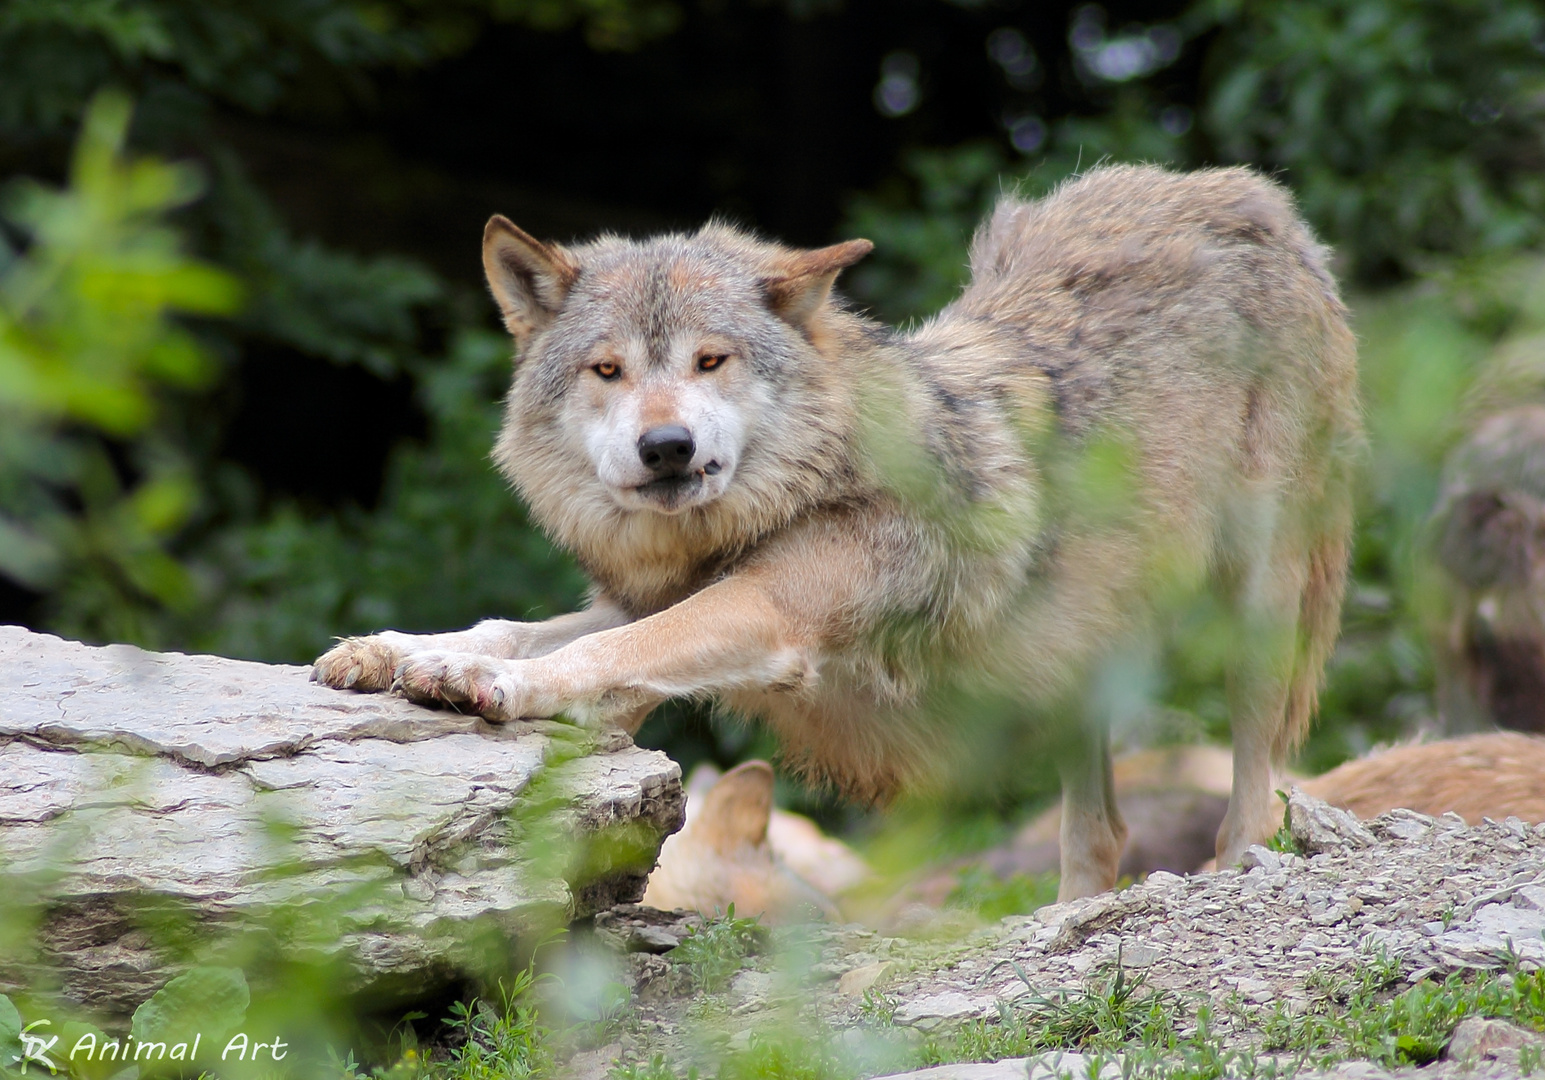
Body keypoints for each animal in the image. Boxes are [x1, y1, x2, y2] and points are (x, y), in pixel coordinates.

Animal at [313, 164, 1365, 902]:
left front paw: (485, 681)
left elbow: (598, 654)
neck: (788, 493)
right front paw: (394, 652)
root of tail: (1249, 194)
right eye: (607, 370)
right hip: (1073, 655)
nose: (666, 446)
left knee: (1252, 800)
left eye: (710, 361)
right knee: (1100, 835)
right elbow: (518, 628)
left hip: (1255, 617)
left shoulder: (758, 607)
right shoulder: (651, 595)